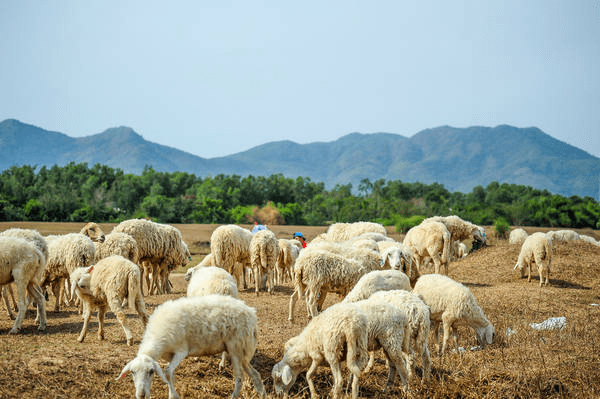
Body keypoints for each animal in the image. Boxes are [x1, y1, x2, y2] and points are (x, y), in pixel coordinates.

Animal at [117, 294, 264, 399]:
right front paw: (172, 393)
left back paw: (234, 396)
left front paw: (173, 396)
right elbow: (171, 375)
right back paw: (262, 394)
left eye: (151, 372)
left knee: (239, 377)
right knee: (255, 374)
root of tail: (252, 314)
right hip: (242, 351)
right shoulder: (170, 355)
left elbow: (168, 372)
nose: (141, 395)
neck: (157, 338)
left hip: (235, 348)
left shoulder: (181, 351)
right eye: (132, 372)